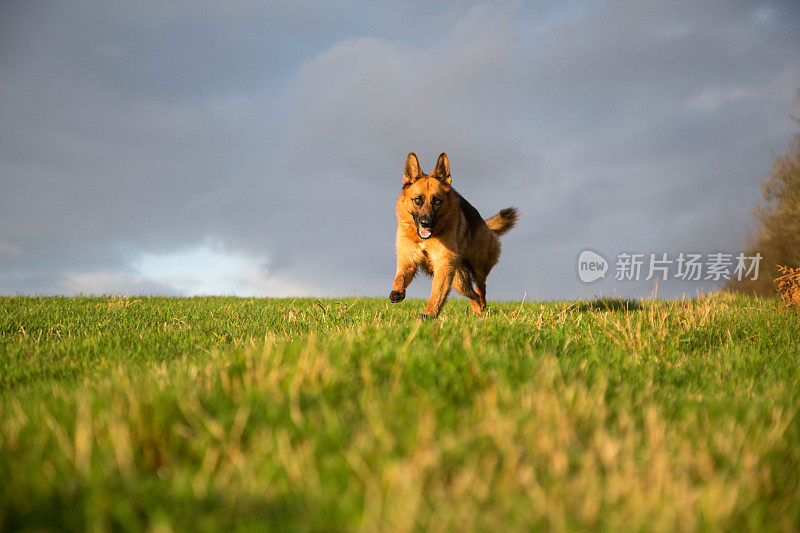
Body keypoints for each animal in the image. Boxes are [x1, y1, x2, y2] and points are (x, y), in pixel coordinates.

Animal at [392, 151, 520, 316]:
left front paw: (429, 315)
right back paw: (478, 313)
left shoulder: (443, 266)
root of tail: (485, 224)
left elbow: (436, 295)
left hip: (474, 271)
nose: (425, 223)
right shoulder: (408, 259)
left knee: (480, 290)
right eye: (418, 200)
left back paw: (483, 310)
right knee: (473, 295)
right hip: (459, 280)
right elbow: (400, 277)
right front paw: (397, 292)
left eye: (437, 201)